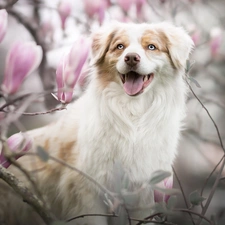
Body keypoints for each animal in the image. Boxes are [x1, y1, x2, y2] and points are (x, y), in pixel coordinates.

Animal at [7, 20, 193, 223]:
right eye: (120, 46)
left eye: (151, 47)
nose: (131, 58)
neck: (133, 114)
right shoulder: (87, 190)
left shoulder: (143, 193)